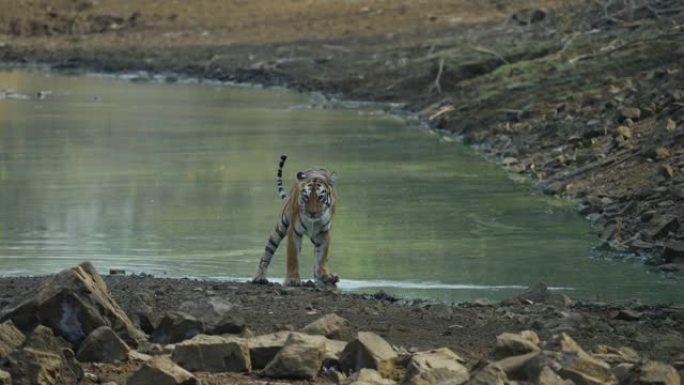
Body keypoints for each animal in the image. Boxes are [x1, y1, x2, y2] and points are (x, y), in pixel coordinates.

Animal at [251, 154, 340, 284]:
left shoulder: (324, 232)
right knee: (266, 254)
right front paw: (292, 279)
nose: (312, 213)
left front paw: (324, 276)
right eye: (306, 197)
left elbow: (322, 256)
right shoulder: (294, 231)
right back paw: (259, 277)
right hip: (280, 228)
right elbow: (293, 256)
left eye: (320, 197)